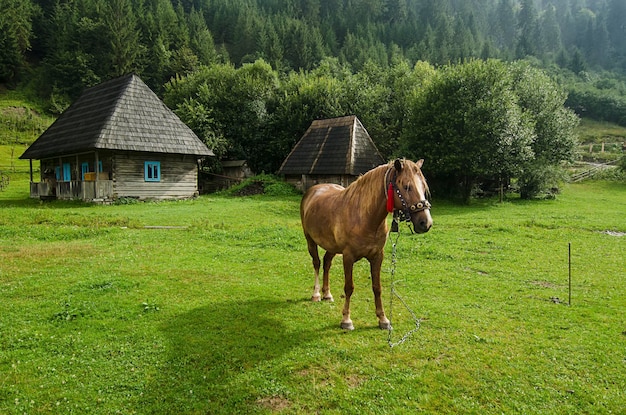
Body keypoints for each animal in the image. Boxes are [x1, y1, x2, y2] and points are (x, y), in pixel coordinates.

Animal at [300, 159, 432, 332]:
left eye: (423, 187)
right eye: (406, 186)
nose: (426, 223)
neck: (365, 216)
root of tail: (313, 190)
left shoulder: (377, 256)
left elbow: (377, 288)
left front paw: (383, 319)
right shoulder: (348, 257)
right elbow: (349, 288)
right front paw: (346, 320)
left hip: (332, 247)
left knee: (327, 263)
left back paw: (327, 294)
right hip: (310, 240)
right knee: (316, 263)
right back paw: (316, 294)